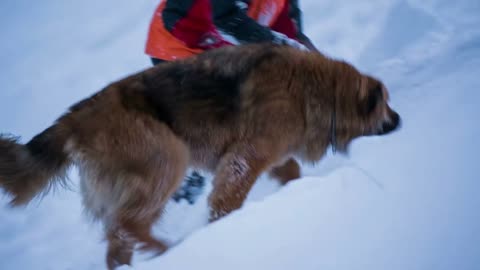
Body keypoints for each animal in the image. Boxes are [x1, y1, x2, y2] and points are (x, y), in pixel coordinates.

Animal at [0, 43, 400, 268]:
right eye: (384, 102)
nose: (399, 120)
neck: (311, 89)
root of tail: (76, 117)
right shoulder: (246, 155)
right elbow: (227, 198)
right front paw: (224, 225)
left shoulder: (270, 155)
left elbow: (290, 172)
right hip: (167, 158)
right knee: (126, 224)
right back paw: (167, 249)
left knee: (116, 239)